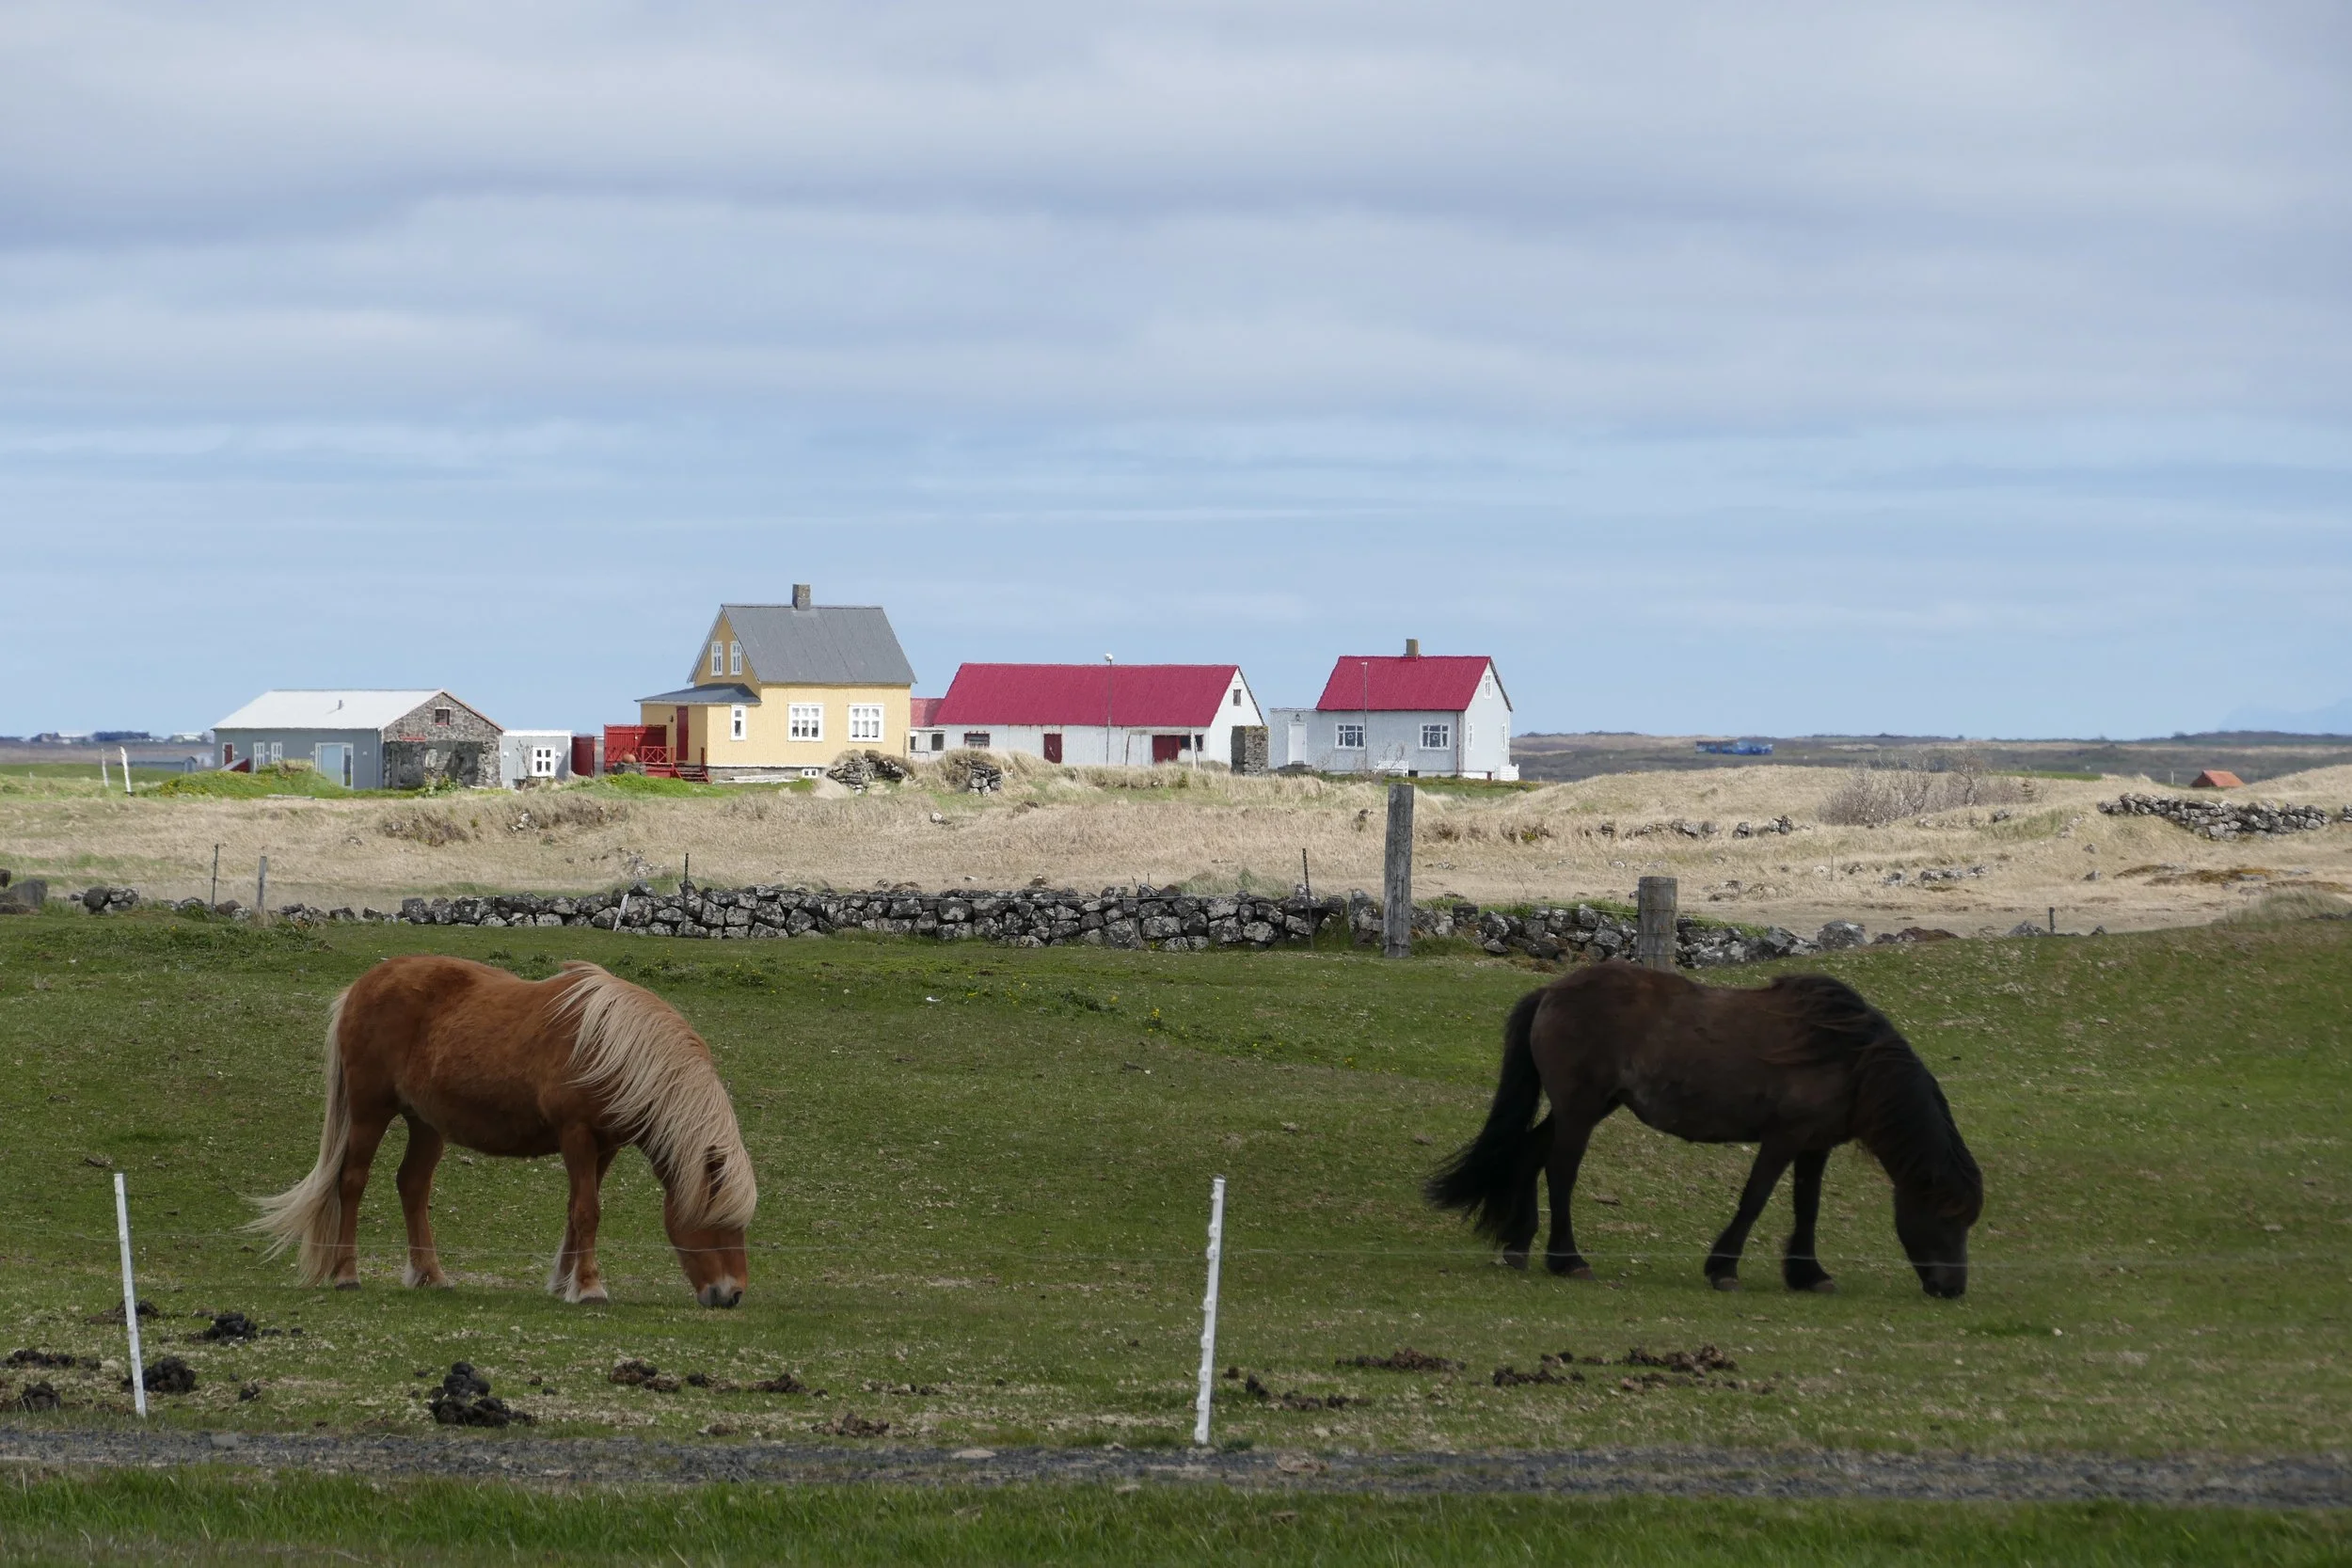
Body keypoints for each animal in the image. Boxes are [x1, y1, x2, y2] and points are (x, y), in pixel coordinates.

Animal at [250, 956, 757, 1307]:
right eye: (717, 1221)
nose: (732, 1295)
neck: (615, 1048)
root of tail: (361, 986)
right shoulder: (577, 1136)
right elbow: (588, 1212)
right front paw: (590, 1287)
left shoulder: (604, 1147)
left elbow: (576, 1212)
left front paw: (564, 1283)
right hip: (369, 1112)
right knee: (351, 1182)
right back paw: (346, 1274)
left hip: (426, 1124)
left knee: (412, 1186)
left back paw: (432, 1275)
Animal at [1426, 963, 1981, 1298]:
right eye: (1947, 1216)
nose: (1953, 1288)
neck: (1848, 1056)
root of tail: (1550, 992)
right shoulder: (1782, 1140)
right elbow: (1754, 1200)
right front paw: (1724, 1268)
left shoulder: (1814, 1146)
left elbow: (1807, 1207)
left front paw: (1808, 1273)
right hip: (1579, 1111)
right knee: (1560, 1173)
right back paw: (1567, 1259)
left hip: (1586, 1109)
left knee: (1529, 1154)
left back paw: (1518, 1246)